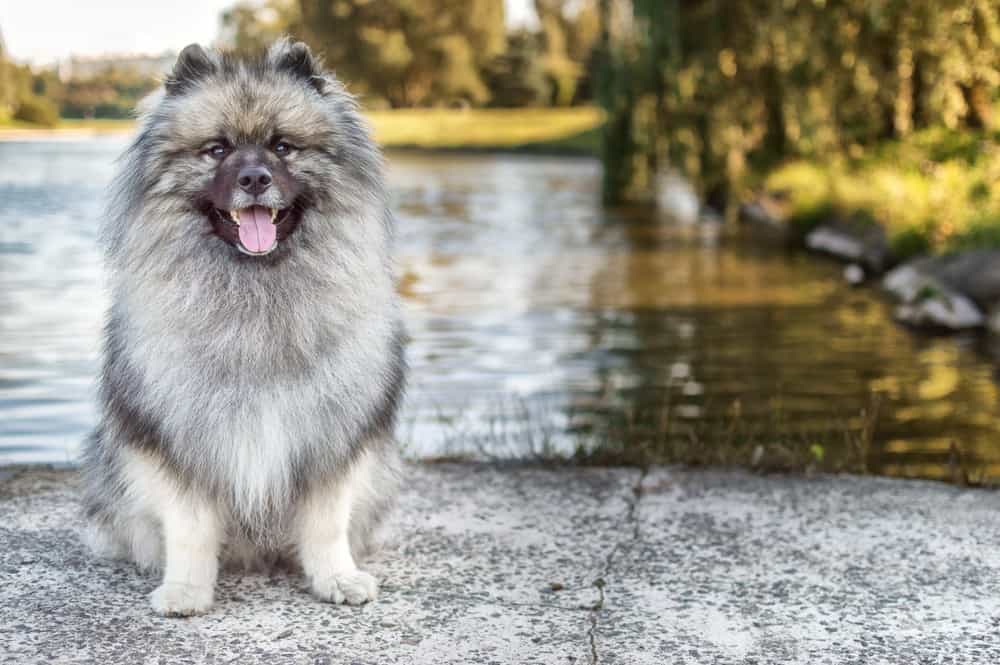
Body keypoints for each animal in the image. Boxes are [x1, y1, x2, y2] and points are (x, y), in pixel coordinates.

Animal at [79, 39, 406, 616]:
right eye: (217, 150)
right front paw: (186, 589)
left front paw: (337, 578)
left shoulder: (329, 436)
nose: (255, 179)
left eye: (282, 147)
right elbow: (188, 529)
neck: (256, 293)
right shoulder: (181, 439)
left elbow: (327, 524)